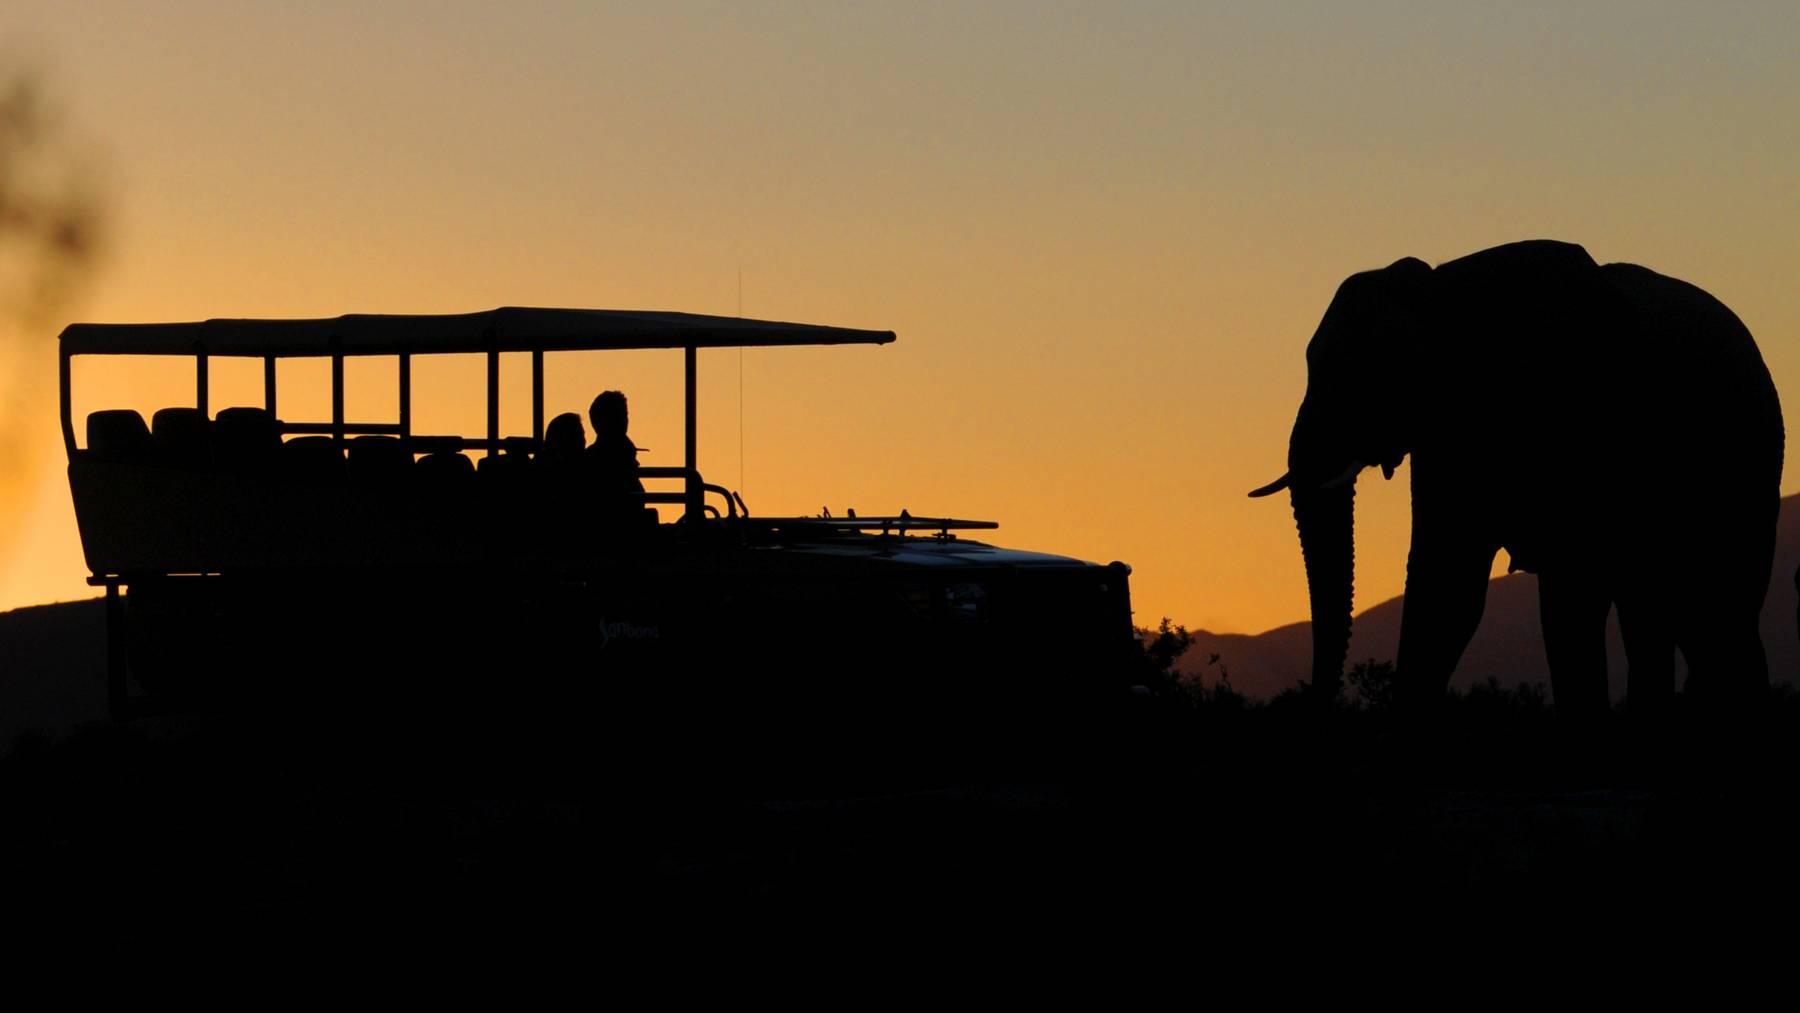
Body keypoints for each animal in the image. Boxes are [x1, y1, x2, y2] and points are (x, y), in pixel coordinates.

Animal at [1252, 241, 1785, 716]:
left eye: (1369, 370)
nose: (1315, 701)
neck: (1443, 292)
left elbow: (1569, 592)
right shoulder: (1448, 434)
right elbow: (1446, 580)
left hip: (1752, 472)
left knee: (1720, 615)